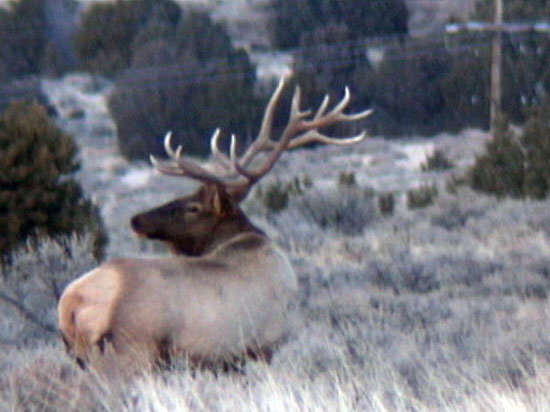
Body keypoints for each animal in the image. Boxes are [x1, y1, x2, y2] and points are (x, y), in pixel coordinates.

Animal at [57, 75, 376, 372]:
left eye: (193, 206)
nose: (137, 219)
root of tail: (71, 304)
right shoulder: (266, 345)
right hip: (132, 350)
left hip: (87, 355)